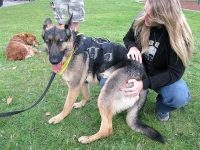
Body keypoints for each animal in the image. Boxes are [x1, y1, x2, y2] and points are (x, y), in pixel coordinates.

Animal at [41, 15, 164, 144]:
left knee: (107, 129)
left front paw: (59, 117)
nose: (53, 61)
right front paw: (81, 104)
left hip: (105, 95)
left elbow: (66, 106)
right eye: (48, 42)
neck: (74, 47)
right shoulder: (82, 82)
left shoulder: (74, 86)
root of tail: (143, 77)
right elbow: (86, 96)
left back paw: (88, 139)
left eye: (60, 42)